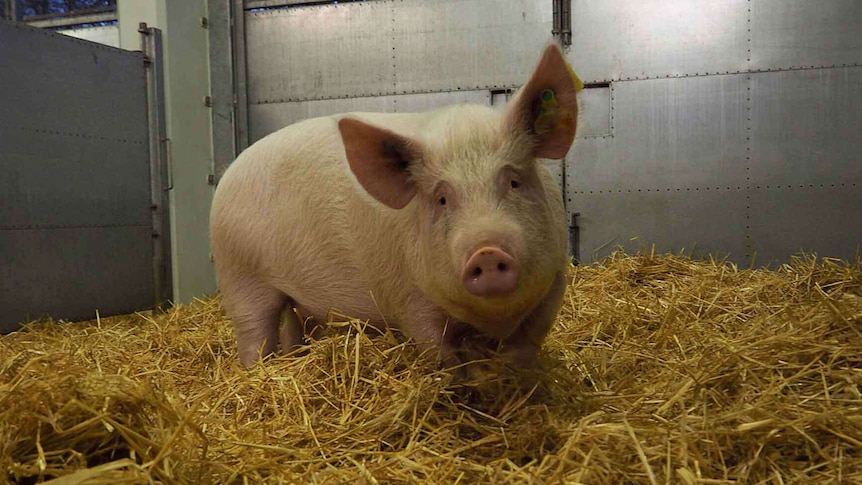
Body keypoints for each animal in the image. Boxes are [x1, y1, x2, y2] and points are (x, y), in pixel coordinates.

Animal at [213, 43, 584, 368]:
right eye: (441, 198)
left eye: (514, 182)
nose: (487, 251)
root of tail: (227, 175)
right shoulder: (410, 298)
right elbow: (438, 350)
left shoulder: (555, 281)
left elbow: (529, 342)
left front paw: (514, 374)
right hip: (239, 278)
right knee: (254, 336)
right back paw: (259, 371)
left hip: (284, 295)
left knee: (291, 325)